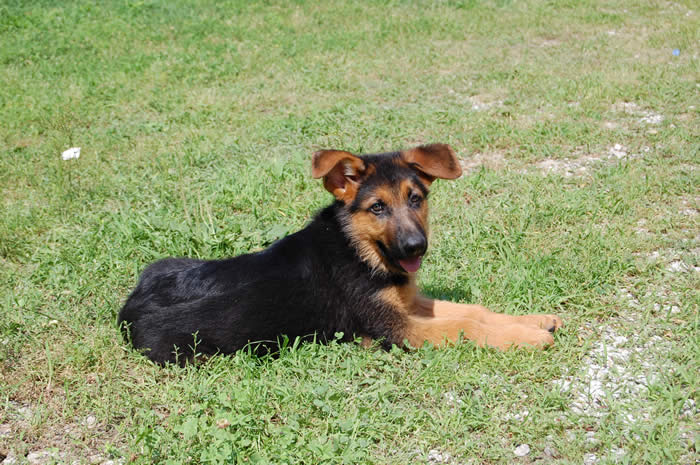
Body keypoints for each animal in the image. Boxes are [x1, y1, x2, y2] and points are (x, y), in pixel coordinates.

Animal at [118, 144, 563, 364]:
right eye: (377, 208)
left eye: (416, 199)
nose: (415, 247)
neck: (358, 249)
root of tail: (127, 309)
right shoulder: (393, 328)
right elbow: (466, 325)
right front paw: (528, 337)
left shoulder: (407, 302)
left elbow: (473, 311)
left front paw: (533, 320)